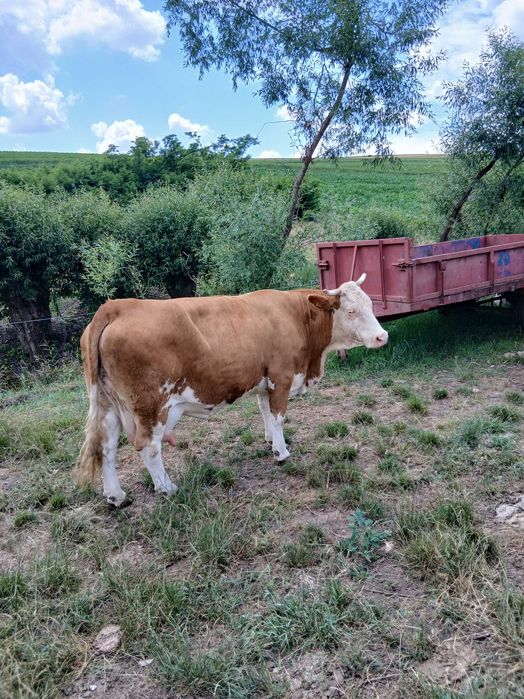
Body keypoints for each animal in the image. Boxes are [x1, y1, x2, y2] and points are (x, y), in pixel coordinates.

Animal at [76, 274, 388, 506]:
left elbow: (264, 410)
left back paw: (116, 496)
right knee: (149, 447)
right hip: (152, 406)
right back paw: (167, 487)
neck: (298, 317)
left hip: (108, 404)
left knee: (106, 447)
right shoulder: (282, 376)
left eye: (371, 305)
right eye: (351, 311)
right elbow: (278, 415)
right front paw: (282, 452)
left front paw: (270, 441)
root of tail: (116, 307)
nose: (381, 336)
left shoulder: (264, 380)